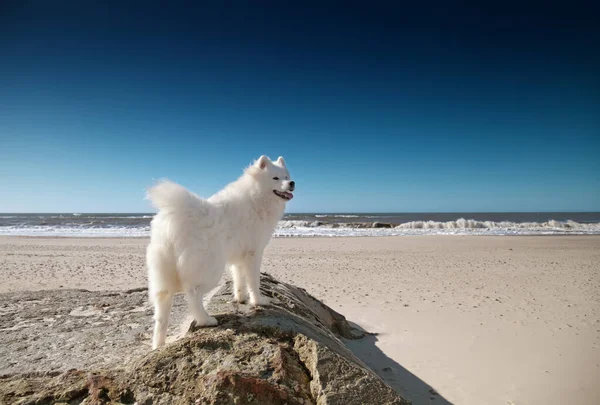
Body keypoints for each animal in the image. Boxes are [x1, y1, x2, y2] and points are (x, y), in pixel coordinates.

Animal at [146, 155, 296, 348]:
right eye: (275, 178)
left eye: (286, 176)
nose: (292, 183)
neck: (256, 197)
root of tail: (177, 216)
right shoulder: (254, 254)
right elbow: (254, 281)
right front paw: (259, 301)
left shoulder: (239, 257)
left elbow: (239, 280)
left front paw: (240, 299)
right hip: (210, 269)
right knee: (193, 294)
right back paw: (206, 320)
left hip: (164, 275)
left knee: (162, 311)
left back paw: (159, 344)